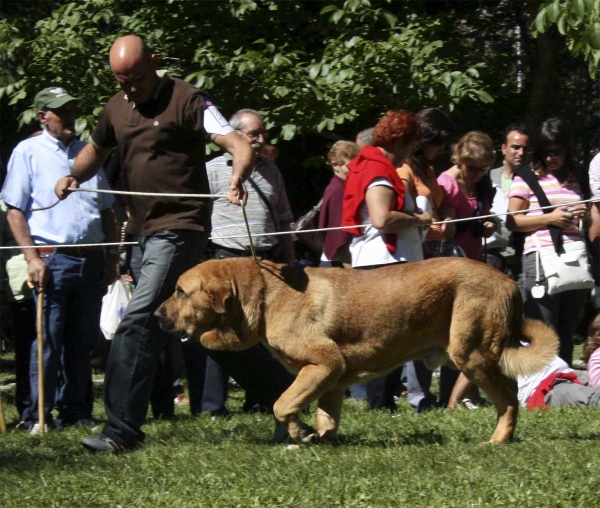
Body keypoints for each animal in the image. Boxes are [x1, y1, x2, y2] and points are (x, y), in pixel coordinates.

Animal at [155, 258, 556, 444]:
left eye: (179, 291)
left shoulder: (323, 363)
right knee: (509, 393)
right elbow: (326, 418)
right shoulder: (332, 377)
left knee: (509, 398)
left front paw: (299, 433)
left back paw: (498, 440)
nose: (156, 315)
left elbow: (282, 404)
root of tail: (510, 282)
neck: (264, 295)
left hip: (470, 353)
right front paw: (317, 439)